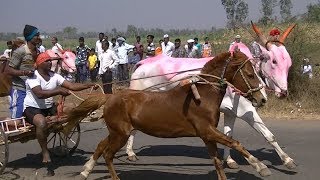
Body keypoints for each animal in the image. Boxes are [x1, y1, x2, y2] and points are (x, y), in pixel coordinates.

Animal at [65, 51, 270, 180]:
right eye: (250, 74)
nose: (261, 99)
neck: (203, 95)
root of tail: (110, 97)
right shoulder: (206, 130)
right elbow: (235, 143)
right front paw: (260, 167)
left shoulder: (207, 135)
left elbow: (217, 162)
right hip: (121, 134)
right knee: (108, 154)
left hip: (117, 132)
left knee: (101, 146)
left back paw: (85, 171)